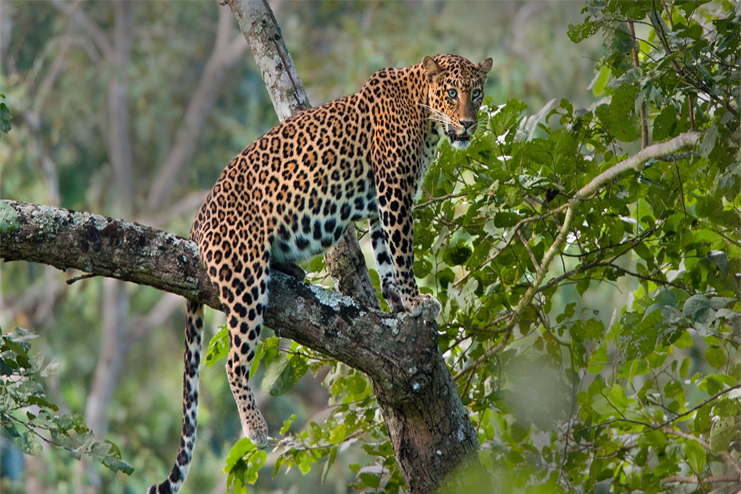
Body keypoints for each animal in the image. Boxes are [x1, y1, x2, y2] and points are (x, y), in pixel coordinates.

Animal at [146, 52, 492, 492]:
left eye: (476, 94)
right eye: (450, 93)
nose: (468, 123)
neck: (424, 115)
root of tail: (197, 221)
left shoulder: (381, 203)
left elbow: (386, 256)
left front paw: (397, 304)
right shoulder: (394, 193)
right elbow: (402, 252)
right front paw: (416, 301)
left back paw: (292, 268)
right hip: (243, 277)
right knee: (234, 361)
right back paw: (256, 428)